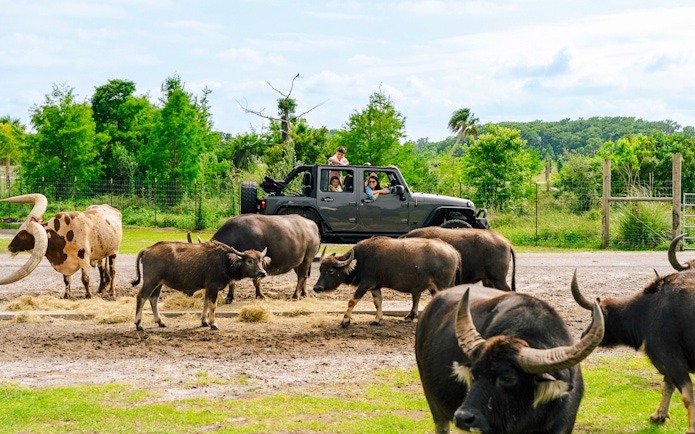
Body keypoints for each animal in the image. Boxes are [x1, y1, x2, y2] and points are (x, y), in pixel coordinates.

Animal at [132, 240, 269, 331]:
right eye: (250, 260)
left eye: (261, 260)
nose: (262, 273)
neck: (225, 261)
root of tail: (147, 250)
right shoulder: (213, 286)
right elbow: (212, 305)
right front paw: (213, 324)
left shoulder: (208, 288)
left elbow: (206, 303)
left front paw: (204, 321)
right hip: (151, 281)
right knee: (141, 297)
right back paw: (138, 324)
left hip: (159, 283)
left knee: (153, 299)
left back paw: (160, 322)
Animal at [313, 236, 461, 327]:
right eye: (320, 269)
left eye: (330, 271)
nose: (317, 287)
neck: (361, 260)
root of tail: (453, 251)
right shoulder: (374, 286)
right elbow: (377, 302)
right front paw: (377, 320)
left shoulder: (365, 284)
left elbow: (352, 301)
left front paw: (345, 321)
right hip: (434, 286)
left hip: (442, 285)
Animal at [571, 234, 695, 434]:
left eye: (593, 315)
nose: (583, 335)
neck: (649, 311)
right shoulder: (670, 363)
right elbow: (666, 386)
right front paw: (658, 415)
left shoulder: (672, 359)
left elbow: (686, 394)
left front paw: (690, 428)